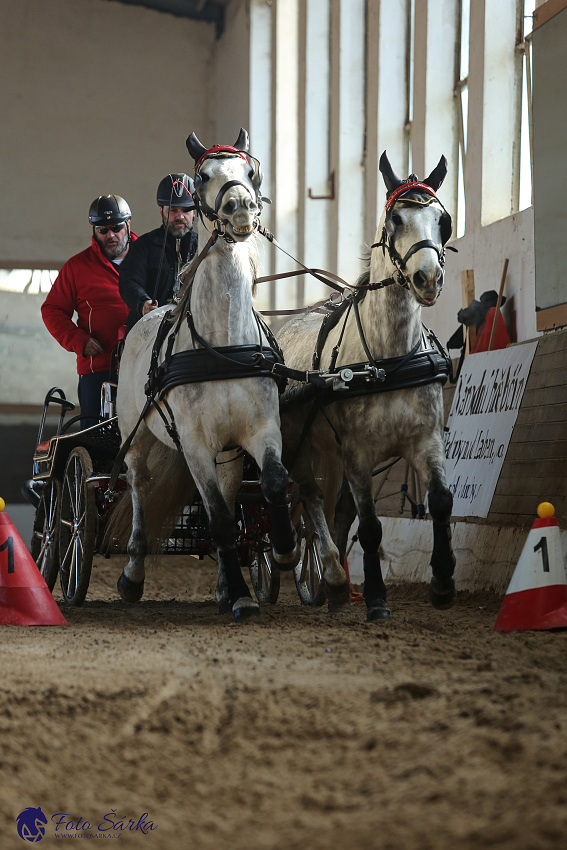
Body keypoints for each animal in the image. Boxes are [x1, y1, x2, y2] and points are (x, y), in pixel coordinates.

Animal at [116, 129, 302, 620]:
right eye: (203, 175)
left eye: (251, 171)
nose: (239, 209)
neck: (223, 346)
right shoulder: (196, 442)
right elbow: (218, 519)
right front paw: (239, 593)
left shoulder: (260, 428)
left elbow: (273, 482)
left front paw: (283, 550)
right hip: (136, 438)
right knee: (138, 486)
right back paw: (132, 575)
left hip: (228, 454)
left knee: (225, 492)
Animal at [278, 151, 458, 616]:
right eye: (395, 218)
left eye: (442, 220)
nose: (428, 279)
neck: (387, 360)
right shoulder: (358, 452)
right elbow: (373, 526)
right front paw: (376, 599)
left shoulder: (426, 440)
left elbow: (441, 502)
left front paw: (442, 582)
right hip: (298, 446)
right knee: (309, 498)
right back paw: (332, 577)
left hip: (330, 452)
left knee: (336, 510)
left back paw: (332, 584)